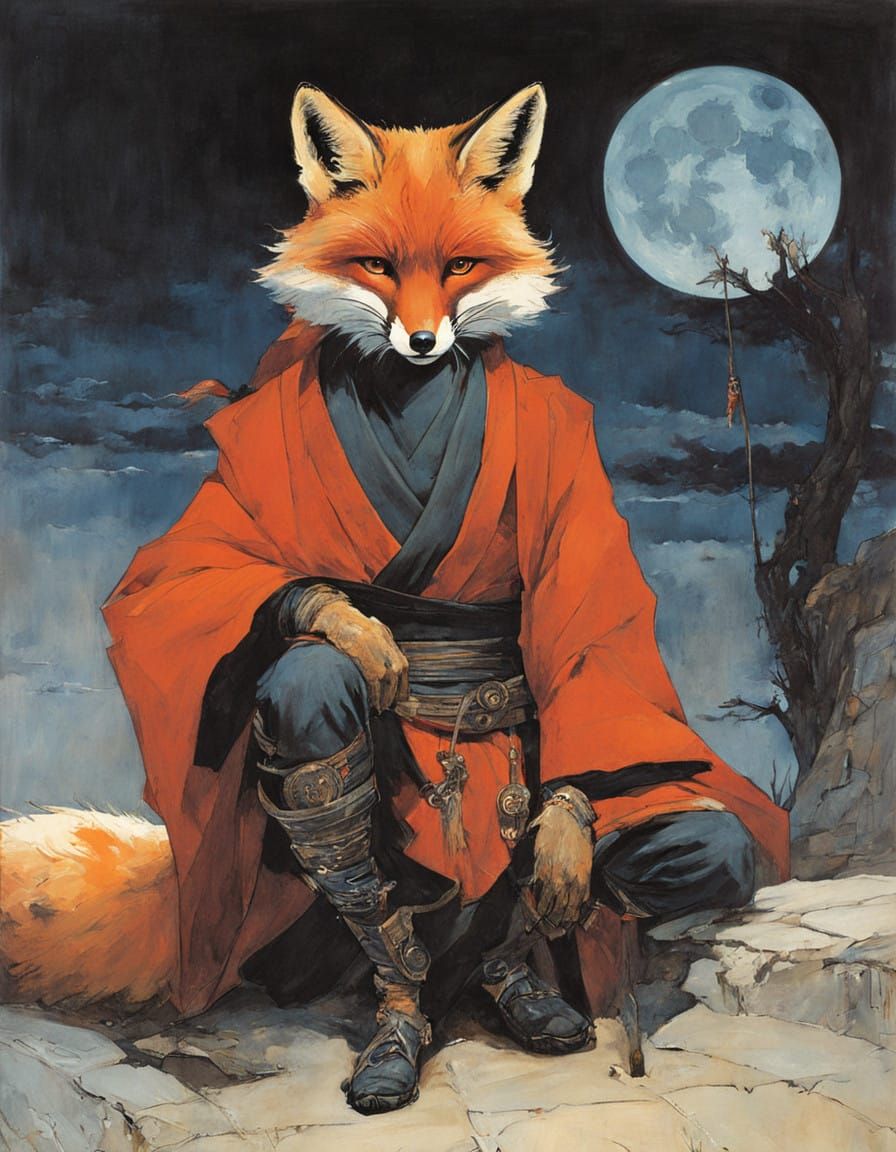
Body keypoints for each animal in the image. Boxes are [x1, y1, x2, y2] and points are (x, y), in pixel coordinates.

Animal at [1, 83, 564, 1010]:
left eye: (457, 268)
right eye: (377, 266)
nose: (422, 341)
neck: (408, 393)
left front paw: (564, 852)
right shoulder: (238, 471)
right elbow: (186, 576)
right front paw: (353, 623)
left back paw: (508, 976)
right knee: (309, 683)